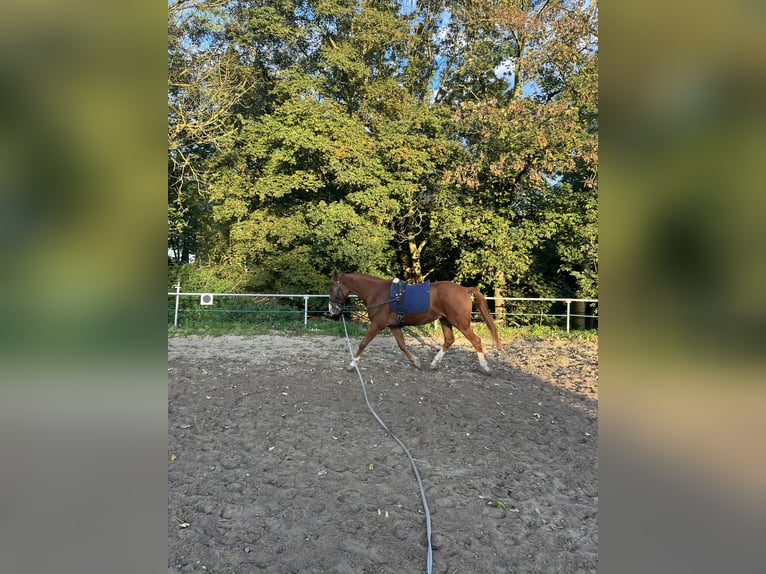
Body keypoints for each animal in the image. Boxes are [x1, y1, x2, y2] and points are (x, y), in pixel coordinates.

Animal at [330, 272, 504, 376]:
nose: (332, 309)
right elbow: (402, 345)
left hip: (461, 323)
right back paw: (434, 364)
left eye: (331, 288)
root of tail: (463, 289)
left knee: (476, 341)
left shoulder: (377, 325)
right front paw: (416, 362)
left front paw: (352, 364)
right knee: (449, 340)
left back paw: (485, 367)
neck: (377, 293)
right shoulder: (393, 326)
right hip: (445, 320)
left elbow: (363, 343)